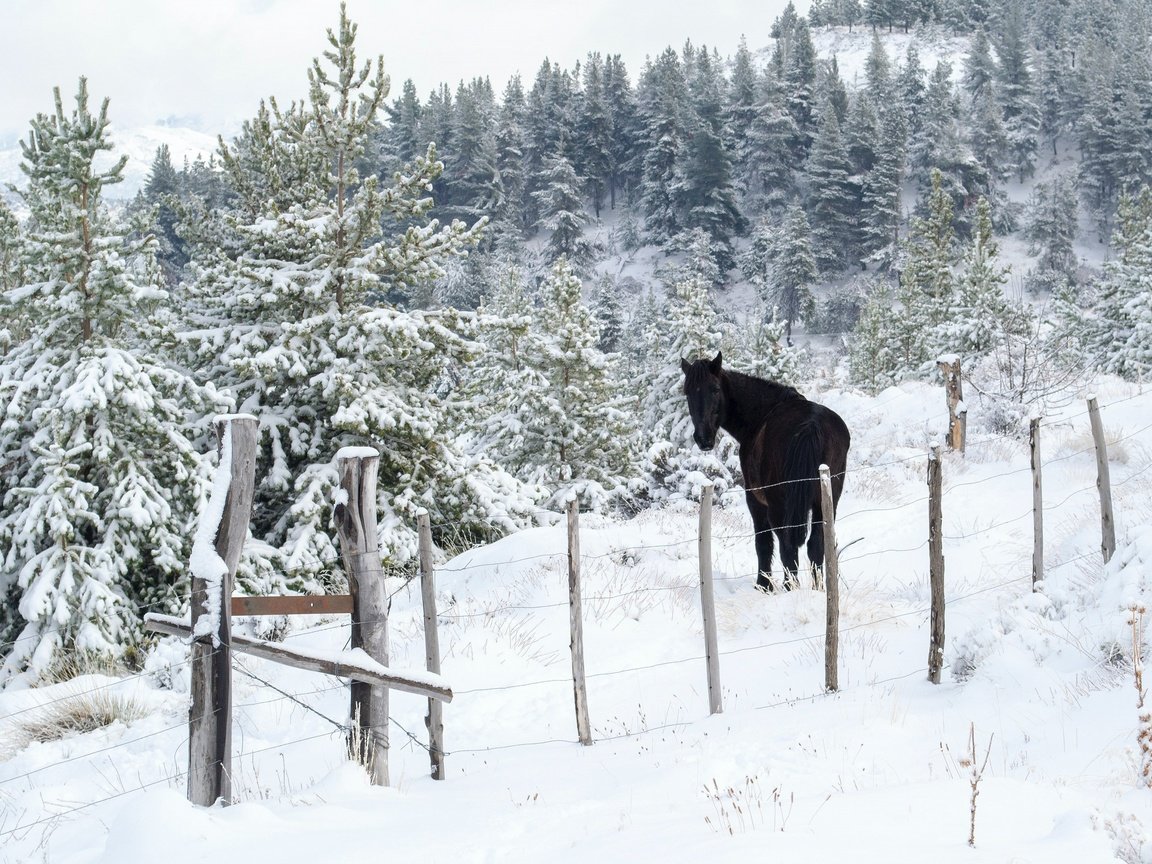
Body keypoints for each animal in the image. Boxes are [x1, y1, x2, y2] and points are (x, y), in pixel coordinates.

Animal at [677, 352, 852, 594]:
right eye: (688, 392)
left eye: (714, 389)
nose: (703, 438)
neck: (761, 414)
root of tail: (811, 425)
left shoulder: (755, 500)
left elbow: (763, 543)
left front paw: (763, 585)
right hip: (826, 500)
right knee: (816, 544)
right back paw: (818, 590)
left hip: (780, 504)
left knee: (787, 545)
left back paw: (790, 588)